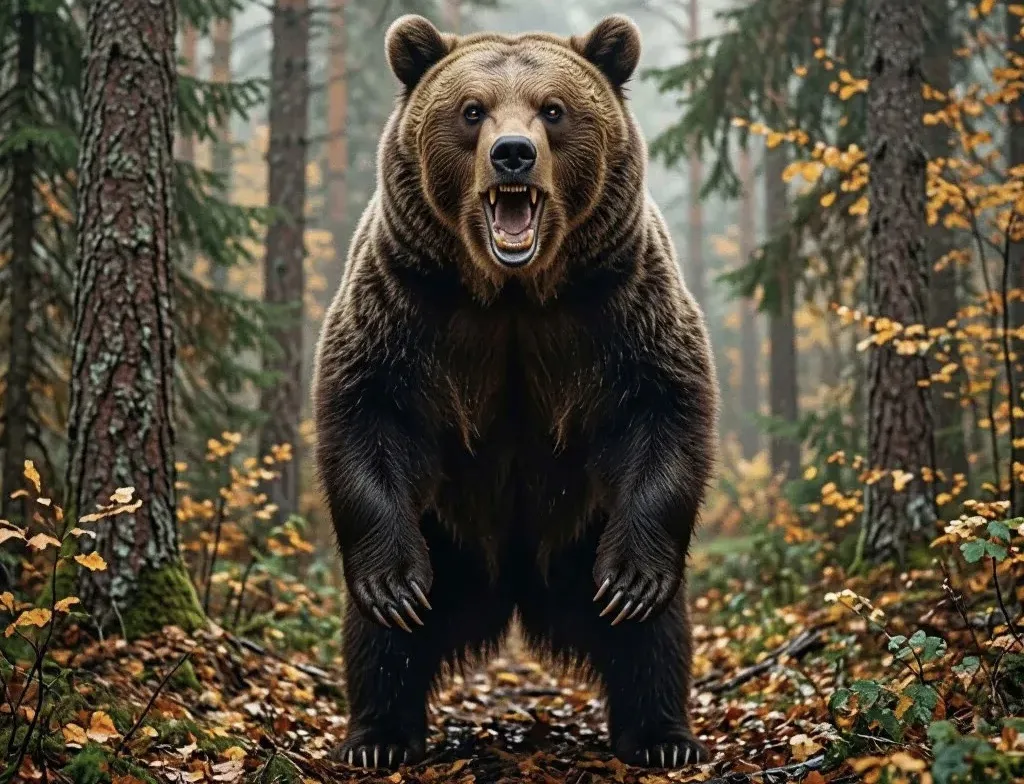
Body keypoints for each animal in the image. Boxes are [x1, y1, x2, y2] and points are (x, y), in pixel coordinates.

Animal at [312, 12, 718, 771]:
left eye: (552, 110)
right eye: (472, 110)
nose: (512, 155)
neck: (513, 293)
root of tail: (517, 593)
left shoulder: (620, 301)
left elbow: (663, 406)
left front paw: (633, 583)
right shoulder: (405, 300)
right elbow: (369, 410)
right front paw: (392, 586)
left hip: (585, 540)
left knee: (654, 635)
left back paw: (660, 737)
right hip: (444, 543)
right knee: (381, 641)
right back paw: (379, 736)